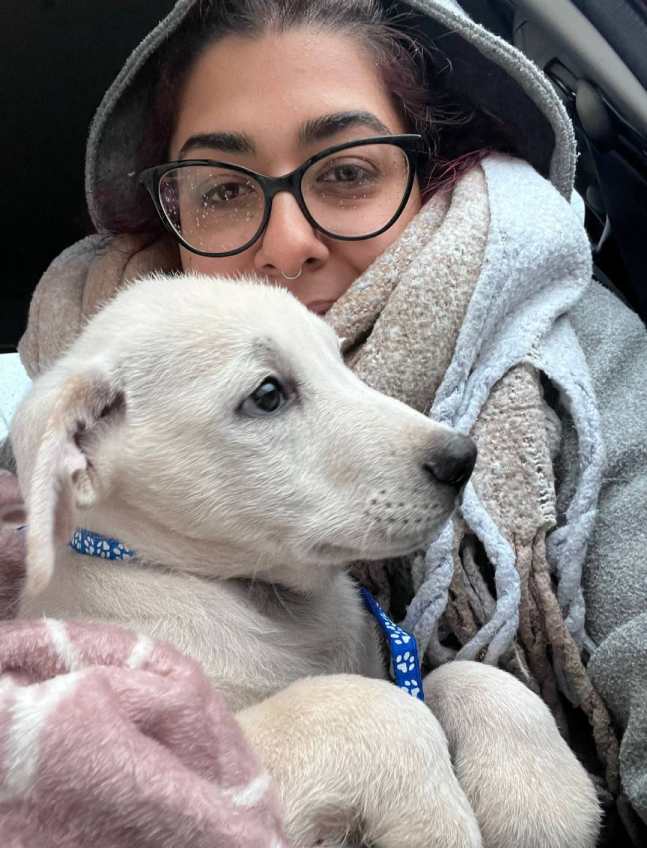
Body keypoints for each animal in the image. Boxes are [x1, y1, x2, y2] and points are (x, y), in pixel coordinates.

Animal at [11, 273, 600, 847]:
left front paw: (539, 802)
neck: (261, 600)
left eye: (338, 360)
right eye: (268, 394)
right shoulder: (181, 771)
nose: (463, 459)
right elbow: (376, 709)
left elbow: (465, 675)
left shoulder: (392, 661)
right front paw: (433, 823)